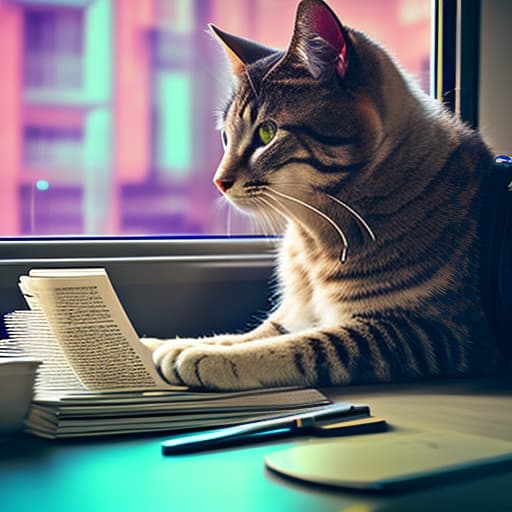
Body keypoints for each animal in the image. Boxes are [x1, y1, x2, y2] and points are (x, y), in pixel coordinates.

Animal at [142, 0, 498, 390]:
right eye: (225, 136)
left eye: (266, 133)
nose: (218, 181)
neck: (314, 238)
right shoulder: (294, 313)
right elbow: (251, 333)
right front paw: (165, 343)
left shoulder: (435, 332)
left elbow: (304, 345)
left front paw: (208, 357)